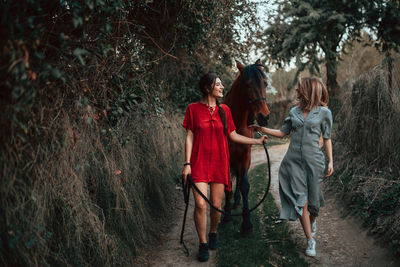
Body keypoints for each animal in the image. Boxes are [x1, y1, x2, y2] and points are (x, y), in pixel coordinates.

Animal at [223, 59, 270, 237]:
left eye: (265, 83)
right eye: (248, 85)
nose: (264, 117)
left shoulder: (244, 157)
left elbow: (244, 186)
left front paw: (247, 223)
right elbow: (227, 187)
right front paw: (226, 217)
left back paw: (236, 202)